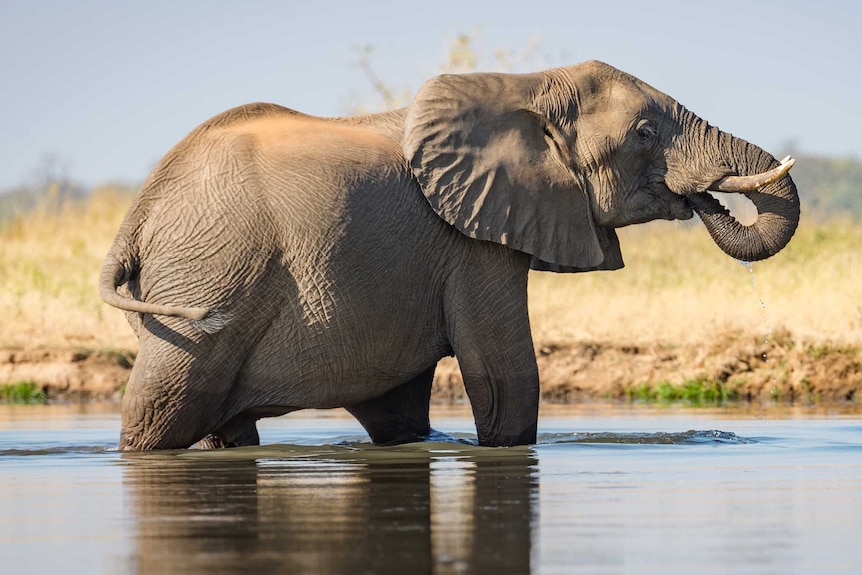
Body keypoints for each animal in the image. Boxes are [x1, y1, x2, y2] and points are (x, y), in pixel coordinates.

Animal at [101, 60, 804, 452]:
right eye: (645, 132)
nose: (701, 198)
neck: (528, 87)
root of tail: (139, 212)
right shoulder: (473, 242)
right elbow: (504, 375)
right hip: (208, 275)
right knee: (159, 407)